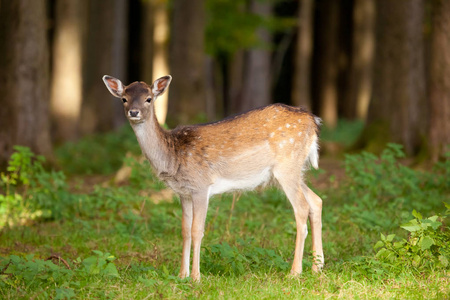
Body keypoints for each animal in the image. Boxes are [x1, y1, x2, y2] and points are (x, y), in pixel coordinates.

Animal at [103, 75, 324, 282]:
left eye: (148, 98)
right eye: (124, 99)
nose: (134, 112)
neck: (173, 157)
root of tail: (313, 121)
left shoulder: (201, 185)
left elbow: (197, 230)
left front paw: (196, 277)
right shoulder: (183, 193)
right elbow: (184, 231)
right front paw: (182, 275)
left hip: (287, 165)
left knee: (302, 207)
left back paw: (295, 272)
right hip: (292, 171)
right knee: (316, 200)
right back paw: (317, 267)